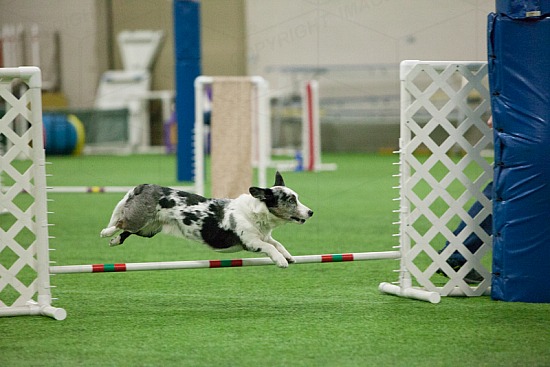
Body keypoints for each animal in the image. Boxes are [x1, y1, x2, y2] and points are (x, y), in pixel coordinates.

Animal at [99, 171, 314, 268]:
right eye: (291, 200)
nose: (311, 212)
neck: (256, 213)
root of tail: (144, 186)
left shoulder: (265, 236)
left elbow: (277, 243)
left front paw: (288, 256)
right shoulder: (252, 242)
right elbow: (269, 247)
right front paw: (281, 261)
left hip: (149, 230)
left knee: (127, 231)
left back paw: (114, 240)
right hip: (139, 219)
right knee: (121, 222)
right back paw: (106, 232)